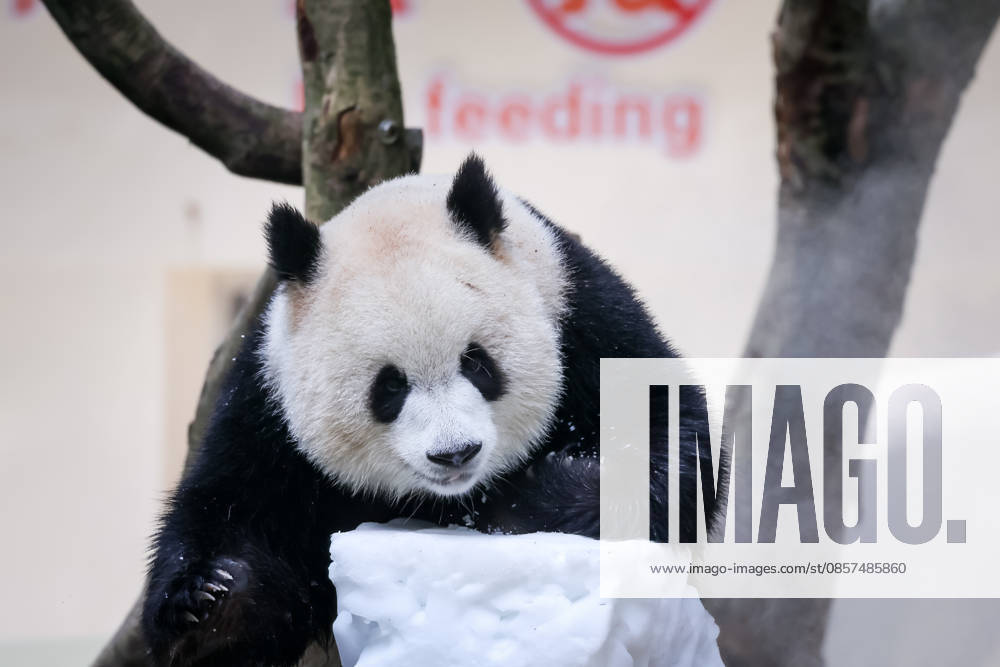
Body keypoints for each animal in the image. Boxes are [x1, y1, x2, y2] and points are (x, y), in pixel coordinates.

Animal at [142, 154, 704, 667]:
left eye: (477, 362)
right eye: (389, 387)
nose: (455, 454)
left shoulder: (579, 312)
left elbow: (668, 438)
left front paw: (529, 494)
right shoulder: (269, 404)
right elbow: (235, 510)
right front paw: (210, 604)